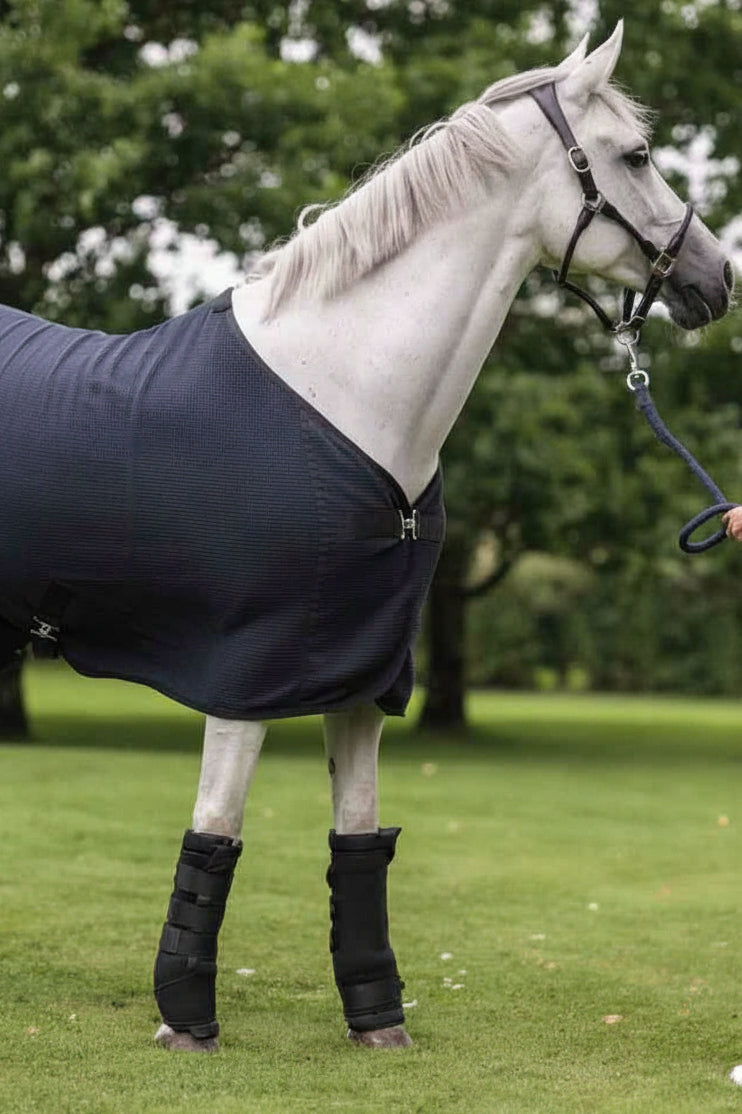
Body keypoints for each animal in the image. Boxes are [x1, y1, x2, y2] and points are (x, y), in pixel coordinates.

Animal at [0, 22, 732, 1053]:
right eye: (634, 156)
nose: (718, 278)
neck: (344, 390)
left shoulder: (361, 671)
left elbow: (358, 840)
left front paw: (378, 1019)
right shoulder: (247, 670)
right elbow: (216, 828)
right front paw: (186, 1019)